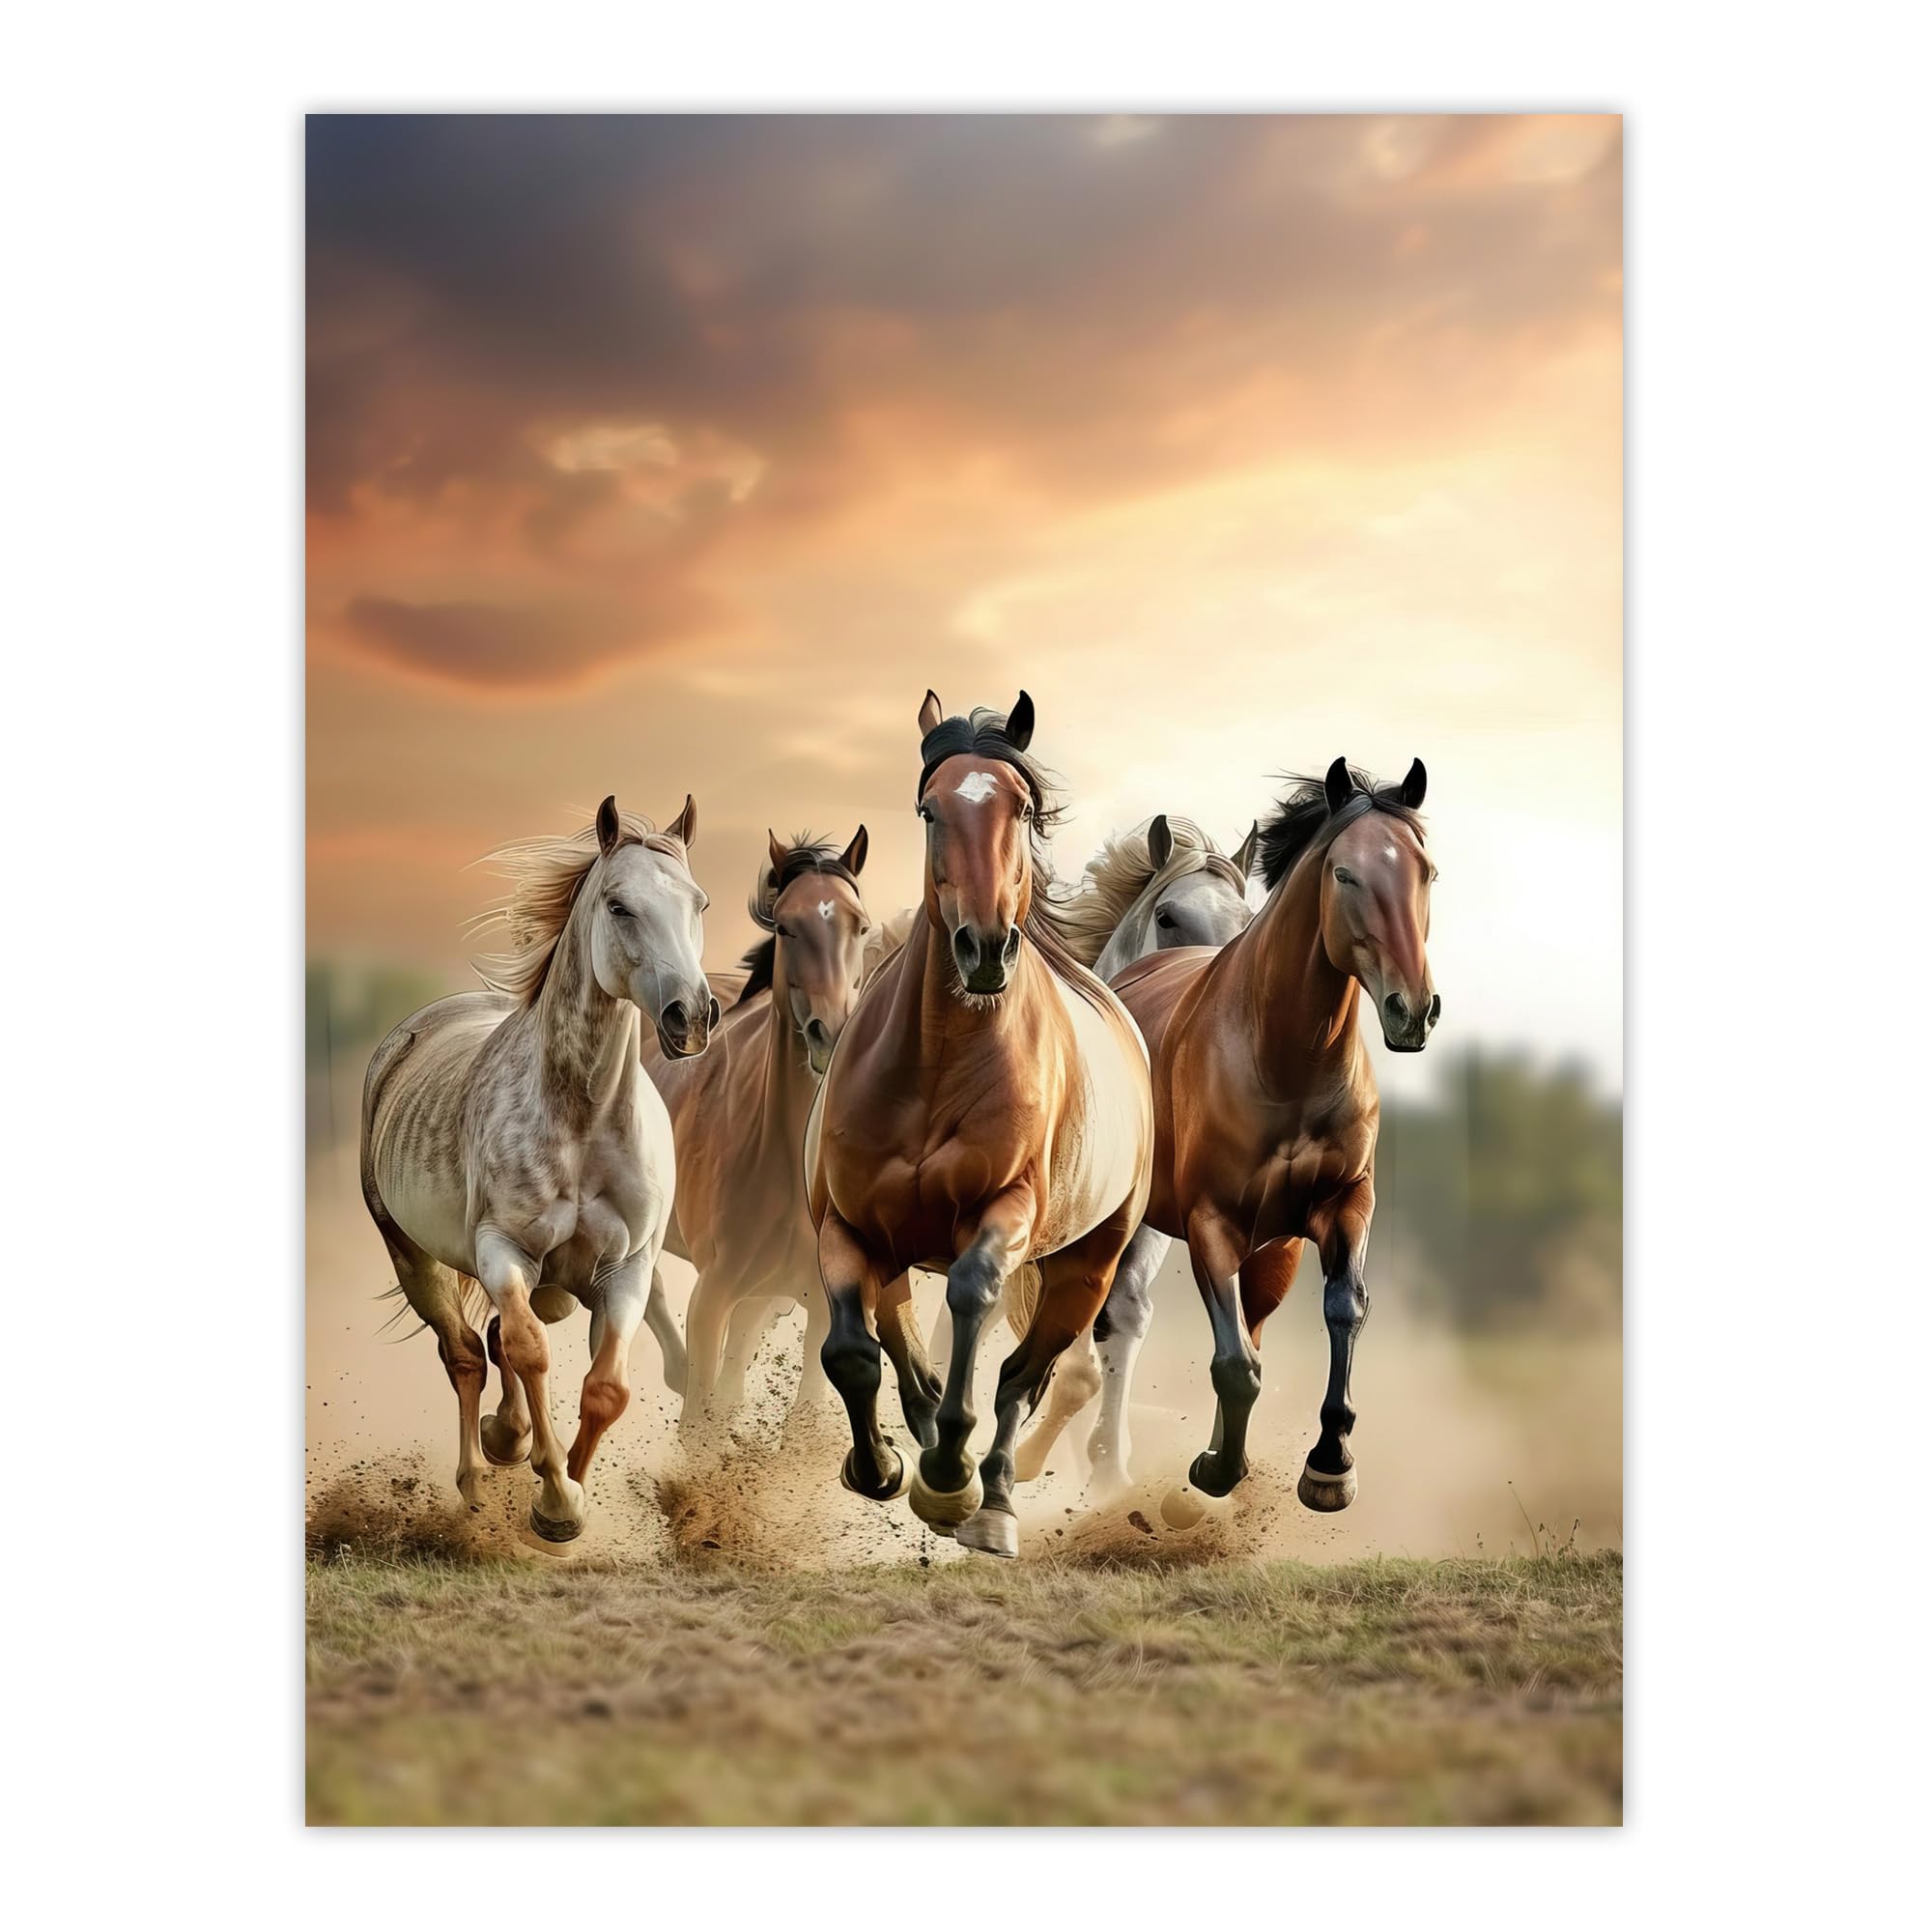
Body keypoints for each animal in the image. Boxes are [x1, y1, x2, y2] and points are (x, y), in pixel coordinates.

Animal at [358, 795, 715, 1542]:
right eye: (618, 905)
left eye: (699, 902)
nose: (692, 1017)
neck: (583, 1122)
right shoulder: (504, 1250)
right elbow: (528, 1352)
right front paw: (553, 1498)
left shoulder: (626, 1269)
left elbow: (605, 1388)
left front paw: (568, 1497)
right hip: (413, 1254)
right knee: (467, 1352)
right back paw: (478, 1475)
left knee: (492, 1343)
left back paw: (508, 1438)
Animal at [644, 828, 873, 1437]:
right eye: (787, 926)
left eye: (860, 926)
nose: (830, 1032)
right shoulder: (712, 1296)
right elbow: (698, 1425)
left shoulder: (821, 1303)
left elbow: (801, 1417)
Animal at [805, 691, 1154, 1559]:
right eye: (930, 810)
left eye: (1020, 807)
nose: (986, 948)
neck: (937, 1065)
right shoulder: (845, 1226)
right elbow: (852, 1351)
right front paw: (879, 1467)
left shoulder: (1005, 1213)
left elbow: (971, 1301)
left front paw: (946, 1480)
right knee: (903, 1339)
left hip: (1087, 1266)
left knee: (1024, 1377)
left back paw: (990, 1501)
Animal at [1108, 758, 1438, 1516]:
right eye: (1344, 874)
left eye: (1427, 872)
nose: (1413, 1009)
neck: (1285, 1061)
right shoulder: (1210, 1223)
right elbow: (1236, 1364)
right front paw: (1216, 1472)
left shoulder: (1341, 1206)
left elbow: (1344, 1310)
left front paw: (1329, 1464)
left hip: (1272, 1248)